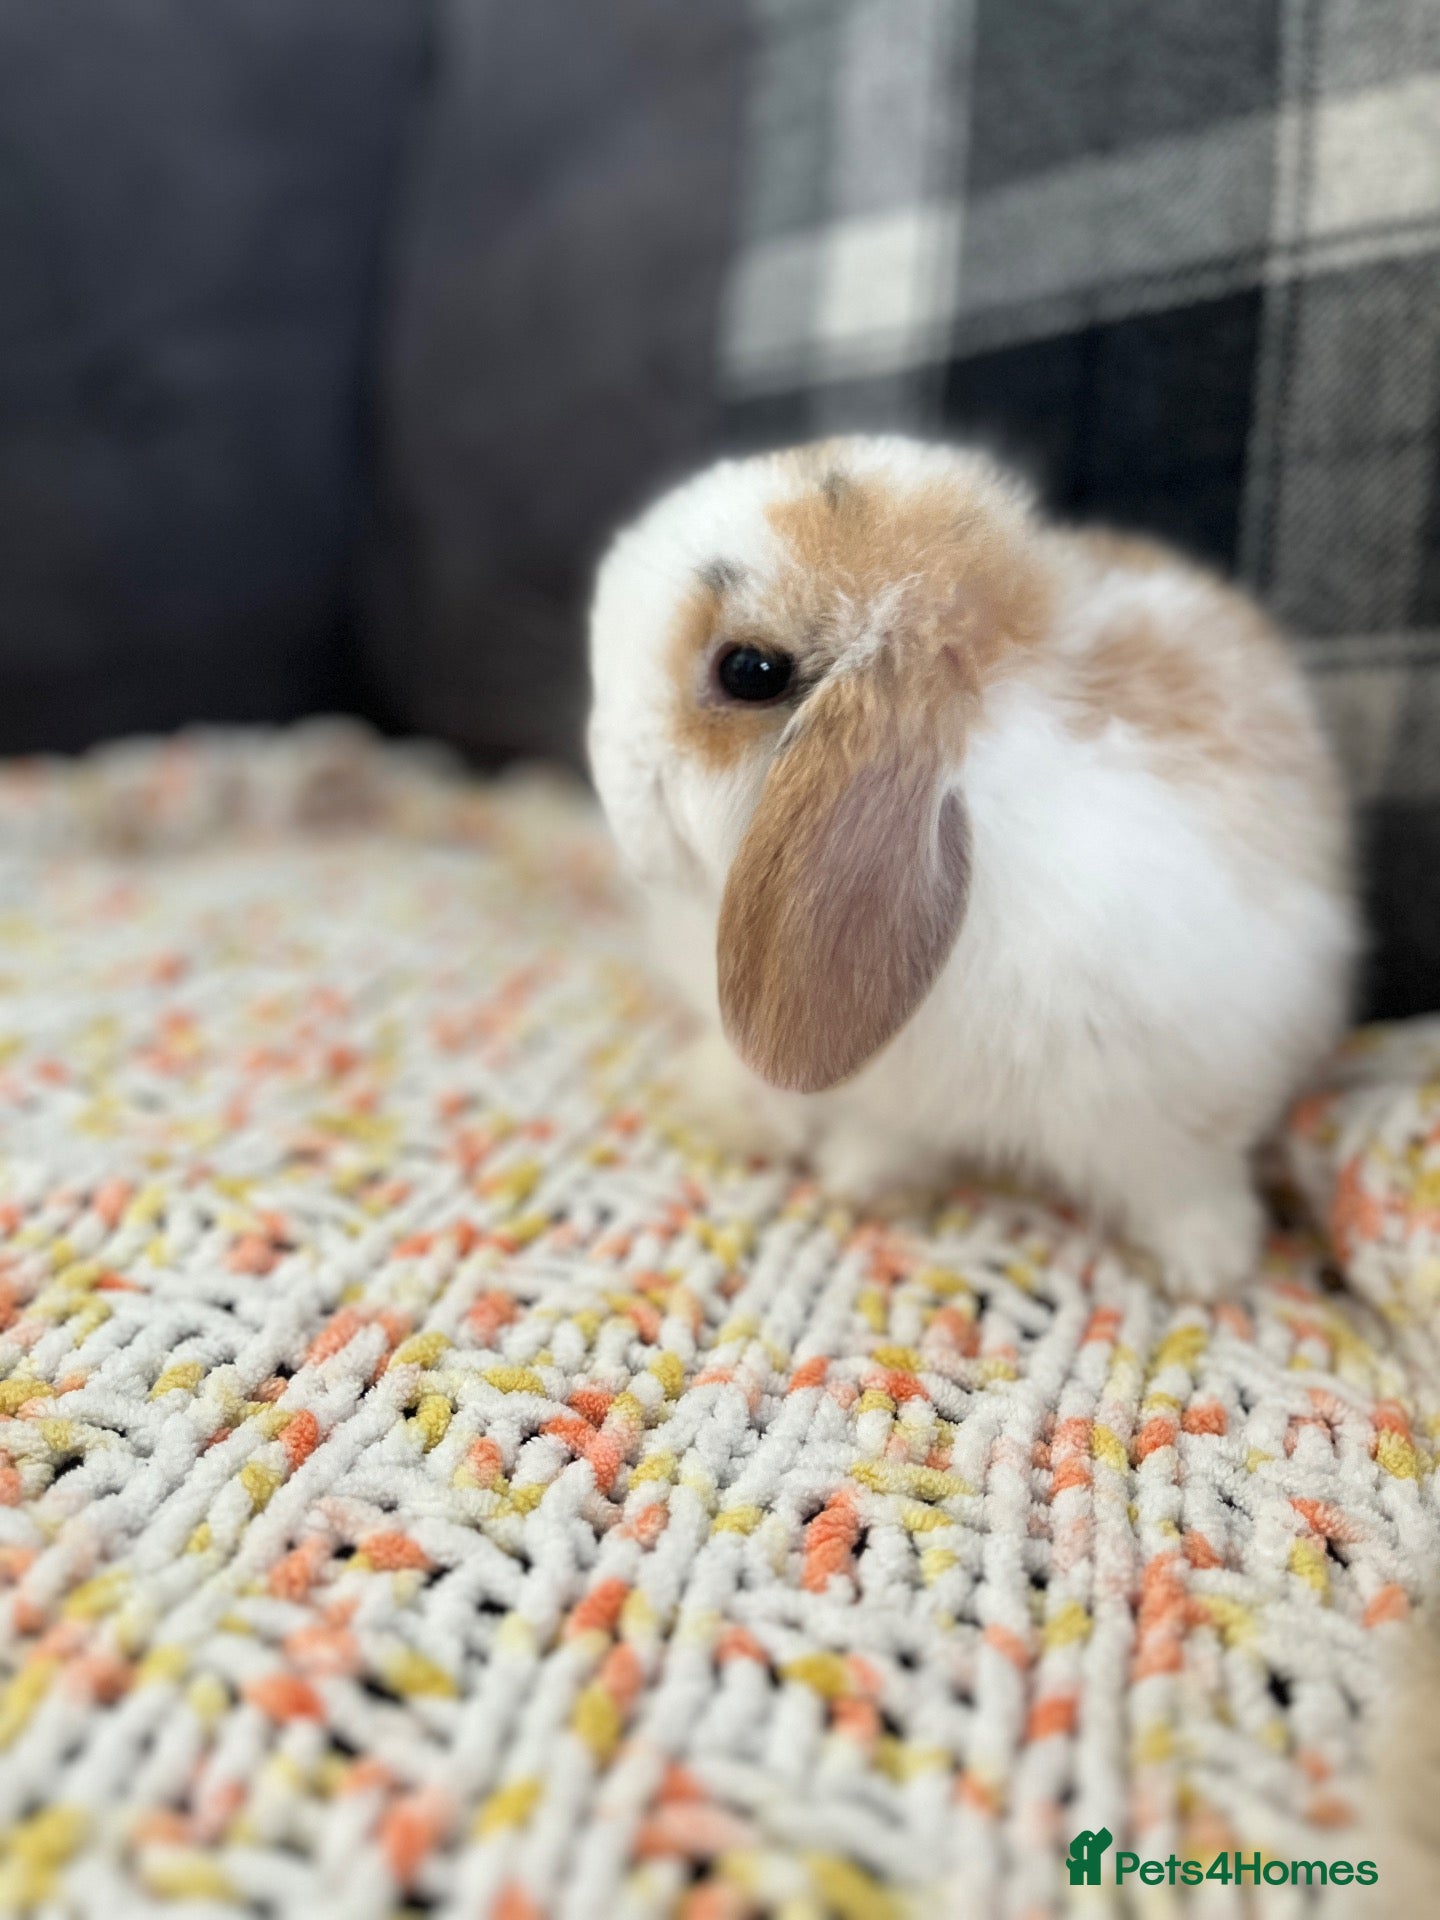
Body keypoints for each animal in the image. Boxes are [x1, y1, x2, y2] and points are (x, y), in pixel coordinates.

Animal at [587, 436, 1358, 1298]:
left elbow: (1188, 1185)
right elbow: (889, 1134)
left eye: (750, 670)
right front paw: (859, 1177)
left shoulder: (1183, 1105)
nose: (609, 775)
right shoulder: (895, 1093)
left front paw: (1209, 1269)